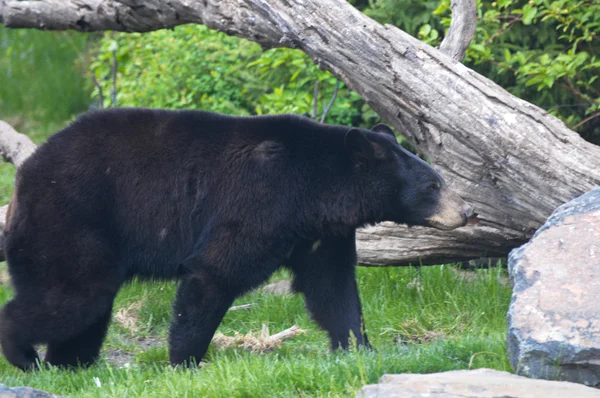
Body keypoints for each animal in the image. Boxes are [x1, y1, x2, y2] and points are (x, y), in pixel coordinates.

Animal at [0, 108, 474, 370]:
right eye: (432, 185)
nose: (468, 211)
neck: (316, 189)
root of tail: (26, 174)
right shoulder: (259, 201)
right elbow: (215, 272)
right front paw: (185, 361)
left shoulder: (319, 233)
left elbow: (332, 287)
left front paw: (359, 347)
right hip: (72, 217)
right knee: (72, 295)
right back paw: (27, 357)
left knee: (86, 309)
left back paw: (69, 363)